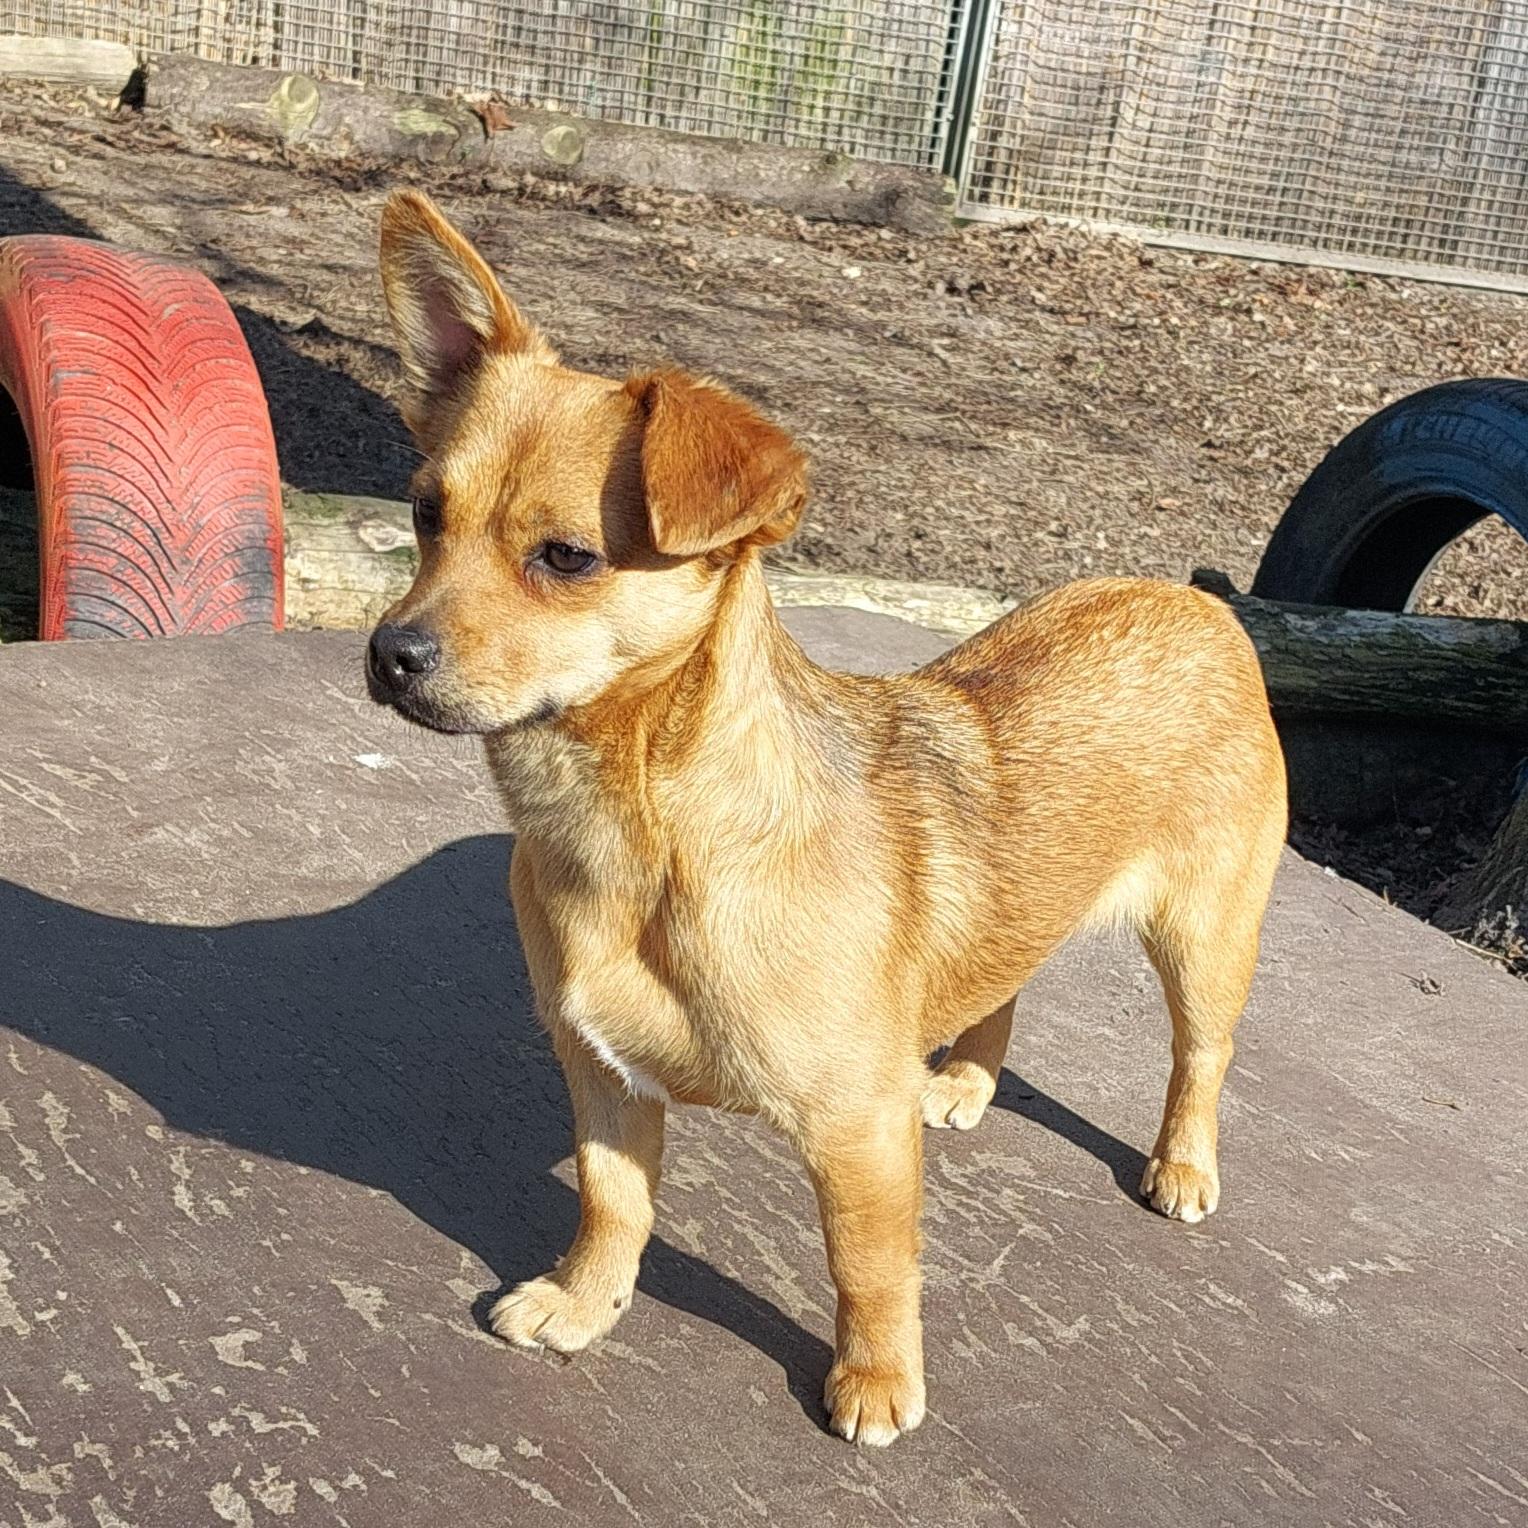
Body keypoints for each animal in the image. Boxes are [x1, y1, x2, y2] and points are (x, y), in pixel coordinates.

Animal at [366, 189, 1288, 1447]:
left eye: (566, 557)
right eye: (423, 515)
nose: (388, 653)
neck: (641, 838)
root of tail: (1194, 604)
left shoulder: (855, 1131)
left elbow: (869, 1265)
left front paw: (877, 1379)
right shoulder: (603, 1082)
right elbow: (613, 1208)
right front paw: (584, 1301)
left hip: (1204, 940)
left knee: (1201, 1054)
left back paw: (1182, 1164)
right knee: (1002, 982)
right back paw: (966, 1081)